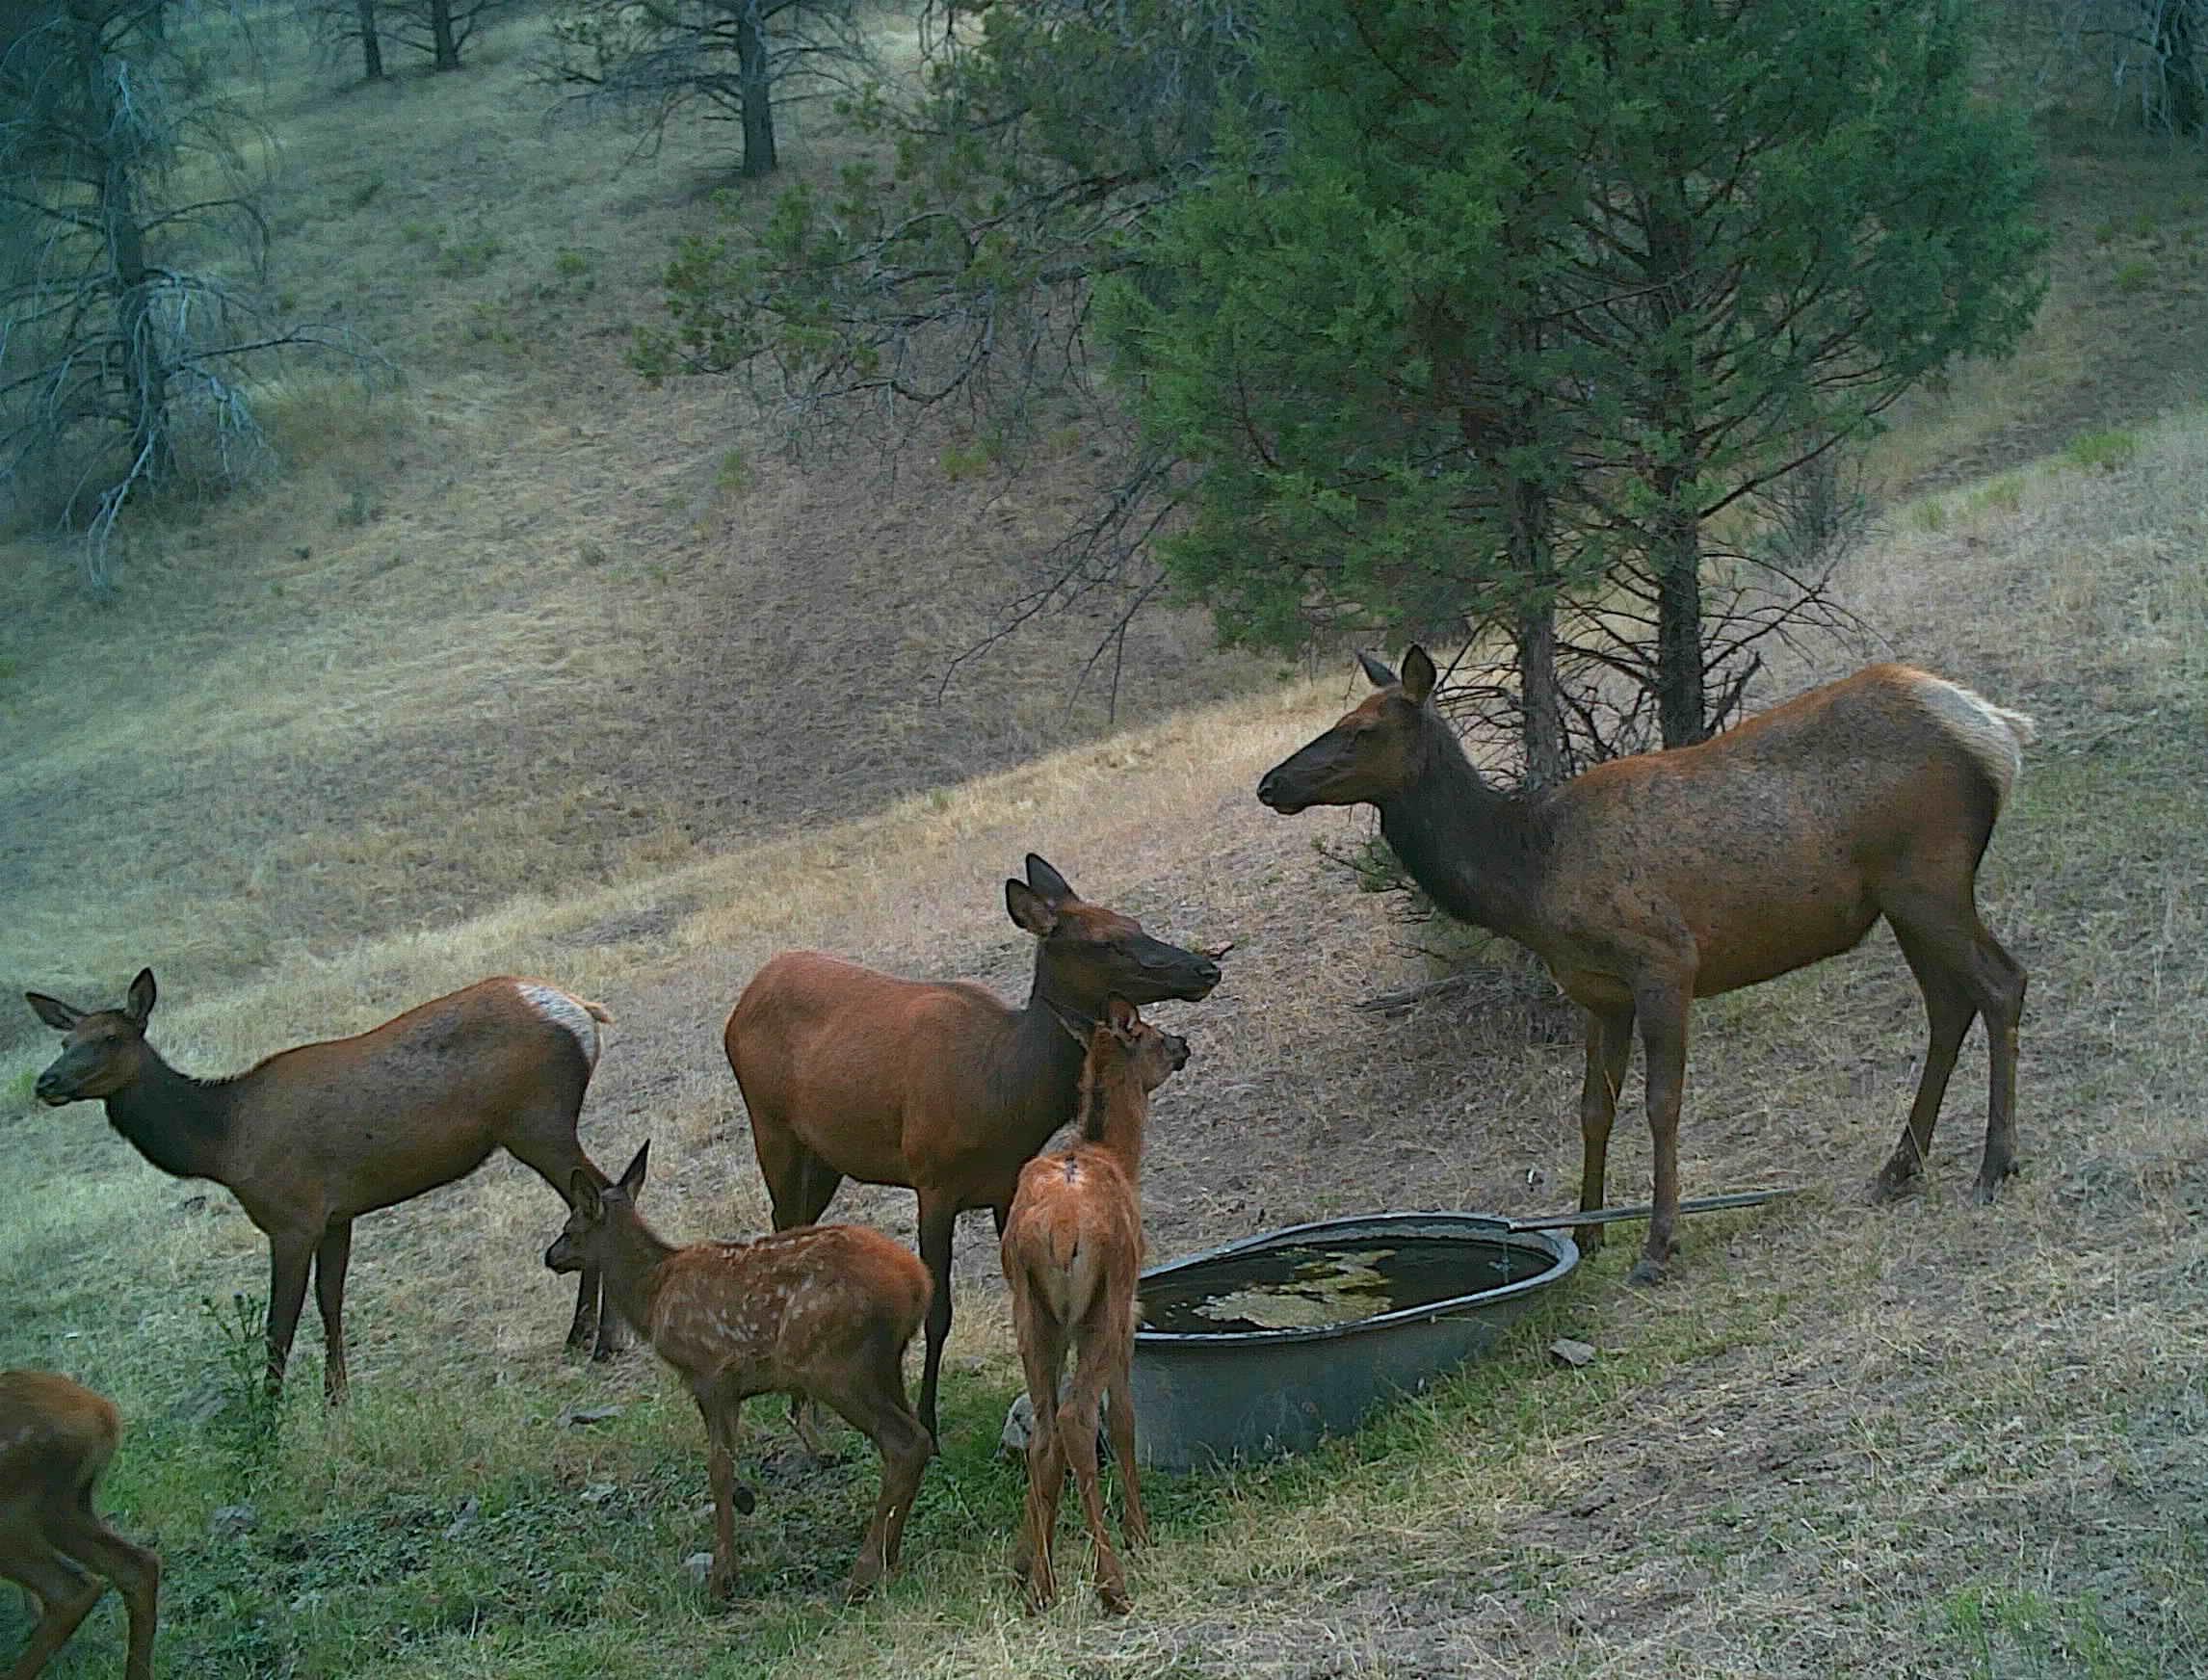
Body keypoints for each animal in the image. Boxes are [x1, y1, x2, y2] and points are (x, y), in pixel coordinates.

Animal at [25, 969, 628, 1401]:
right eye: (64, 1040)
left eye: (109, 1037)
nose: (46, 1082)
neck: (223, 1142)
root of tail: (582, 1011)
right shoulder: (337, 1213)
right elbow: (330, 1301)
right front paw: (335, 1399)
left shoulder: (290, 1217)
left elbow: (278, 1325)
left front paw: (268, 1423)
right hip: (537, 1127)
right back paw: (585, 1336)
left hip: (537, 1122)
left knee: (602, 1194)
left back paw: (594, 1340)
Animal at [544, 1141, 934, 1602]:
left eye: (571, 1227)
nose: (550, 1256)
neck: (654, 1295)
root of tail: (917, 1283)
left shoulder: (711, 1375)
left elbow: (719, 1470)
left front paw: (723, 1578)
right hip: (885, 1365)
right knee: (917, 1440)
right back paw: (891, 1557)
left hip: (834, 1364)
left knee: (904, 1442)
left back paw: (862, 1573)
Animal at [723, 853, 1222, 1442]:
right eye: (1107, 942)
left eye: (1135, 922)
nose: (1205, 969)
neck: (1005, 1094)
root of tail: (742, 1000)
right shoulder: (932, 1180)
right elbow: (938, 1311)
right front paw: (929, 1423)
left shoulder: (1006, 1186)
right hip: (772, 1128)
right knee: (779, 1224)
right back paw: (805, 1417)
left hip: (824, 1157)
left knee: (795, 1226)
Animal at [1000, 996, 1188, 1616]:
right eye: (1150, 1033)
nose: (1183, 1044)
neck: (1118, 1156)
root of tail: (1060, 1233)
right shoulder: (1128, 1311)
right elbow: (1126, 1418)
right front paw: (1139, 1531)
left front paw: (1025, 1558)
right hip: (1100, 1308)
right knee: (1078, 1418)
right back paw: (1112, 1583)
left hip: (1031, 1315)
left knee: (1043, 1427)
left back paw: (1042, 1585)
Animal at [1257, 648, 2034, 1283]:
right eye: (1340, 718)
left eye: (1363, 729)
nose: (1270, 783)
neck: (1527, 876)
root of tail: (1994, 730)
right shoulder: (1598, 992)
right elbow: (1592, 1109)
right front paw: (1587, 1233)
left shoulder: (1663, 961)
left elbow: (1663, 1103)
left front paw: (1658, 1245)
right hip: (1901, 899)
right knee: (1948, 1005)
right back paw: (1899, 1168)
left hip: (1927, 876)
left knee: (2002, 982)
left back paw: (1994, 1166)